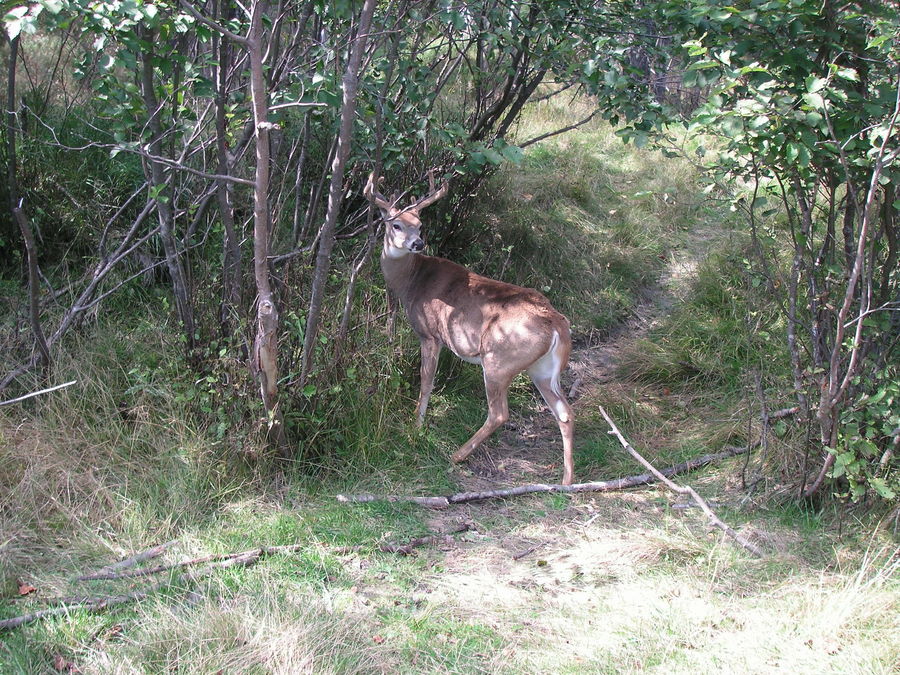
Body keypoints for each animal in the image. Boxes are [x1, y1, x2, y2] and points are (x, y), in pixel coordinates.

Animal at [366, 172, 576, 484]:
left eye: (420, 224)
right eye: (396, 224)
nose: (418, 243)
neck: (411, 281)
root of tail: (557, 325)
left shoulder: (429, 333)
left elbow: (426, 380)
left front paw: (416, 426)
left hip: (499, 360)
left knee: (499, 413)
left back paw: (456, 454)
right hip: (543, 370)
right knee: (565, 412)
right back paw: (566, 480)